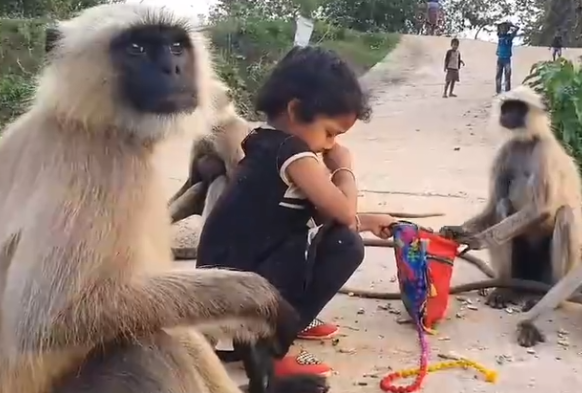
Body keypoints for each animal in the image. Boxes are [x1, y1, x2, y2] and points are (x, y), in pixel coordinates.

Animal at [0, 3, 328, 392]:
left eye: (175, 47)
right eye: (137, 48)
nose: (172, 69)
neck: (82, 121)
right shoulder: (98, 162)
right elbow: (45, 320)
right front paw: (264, 303)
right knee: (147, 346)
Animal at [442, 86, 582, 346]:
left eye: (518, 108)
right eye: (507, 107)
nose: (507, 115)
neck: (526, 142)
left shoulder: (543, 151)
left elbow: (541, 209)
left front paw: (477, 240)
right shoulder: (506, 151)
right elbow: (492, 206)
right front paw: (456, 230)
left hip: (547, 272)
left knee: (565, 215)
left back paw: (542, 295)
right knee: (502, 204)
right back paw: (505, 290)